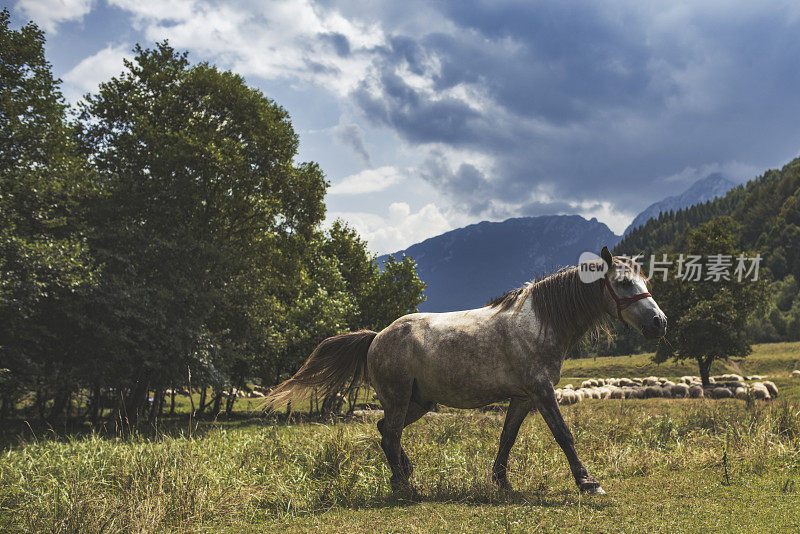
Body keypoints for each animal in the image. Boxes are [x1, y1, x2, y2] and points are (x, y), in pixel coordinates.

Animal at [266, 249, 664, 496]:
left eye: (645, 281)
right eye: (624, 283)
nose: (659, 323)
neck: (540, 321)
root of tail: (377, 337)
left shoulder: (523, 398)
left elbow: (507, 439)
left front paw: (501, 483)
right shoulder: (542, 392)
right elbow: (564, 435)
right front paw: (588, 482)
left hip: (418, 403)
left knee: (384, 431)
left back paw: (404, 474)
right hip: (398, 399)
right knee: (390, 434)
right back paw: (404, 486)